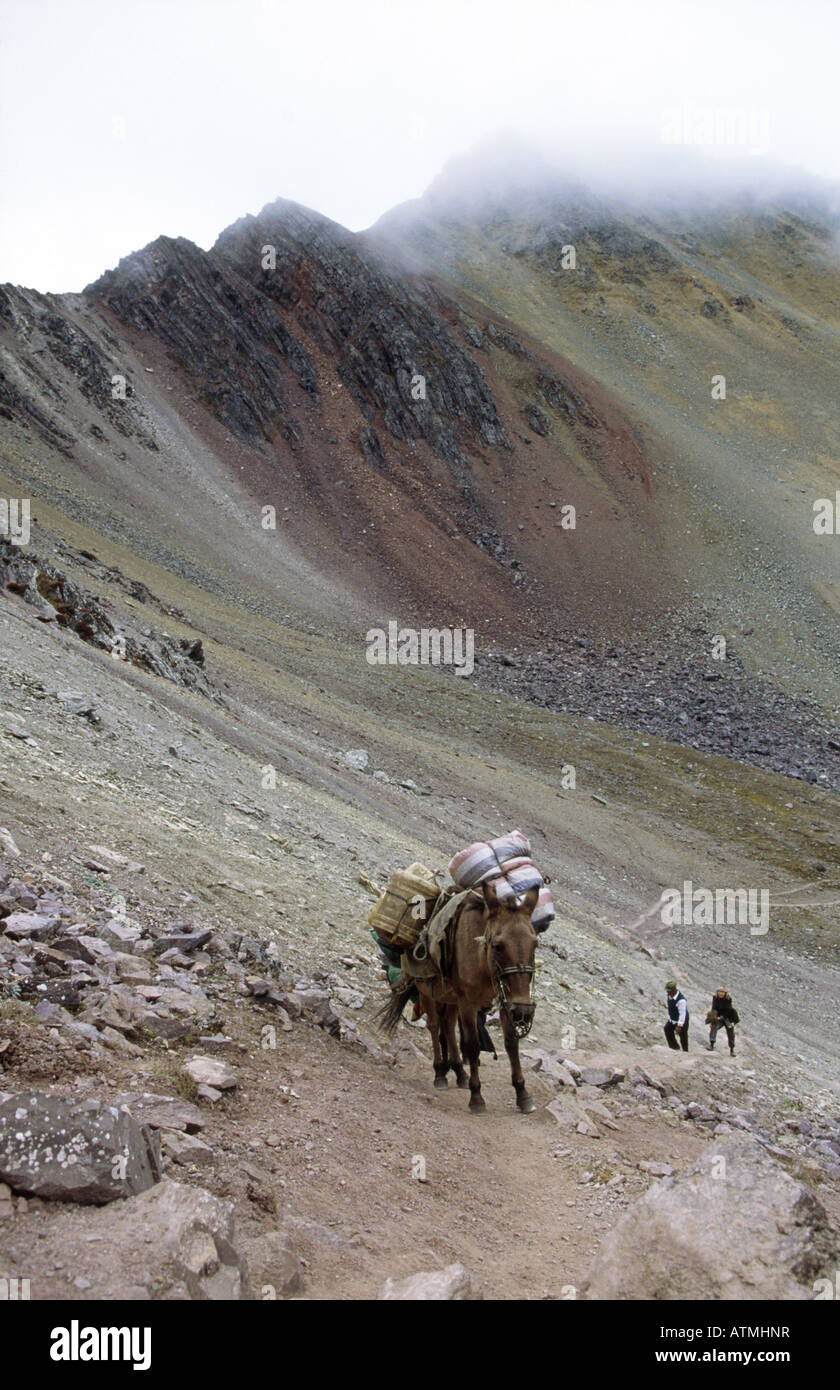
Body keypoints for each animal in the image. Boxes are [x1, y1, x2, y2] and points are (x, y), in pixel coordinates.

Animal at [378, 884, 542, 1112]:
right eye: (498, 946)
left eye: (534, 945)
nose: (523, 1011)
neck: (482, 960)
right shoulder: (468, 1003)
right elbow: (472, 1045)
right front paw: (477, 1097)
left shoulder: (504, 1001)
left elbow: (511, 1043)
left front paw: (523, 1094)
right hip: (428, 991)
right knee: (435, 1026)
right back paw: (440, 1073)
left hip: (451, 998)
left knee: (447, 1025)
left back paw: (459, 1072)